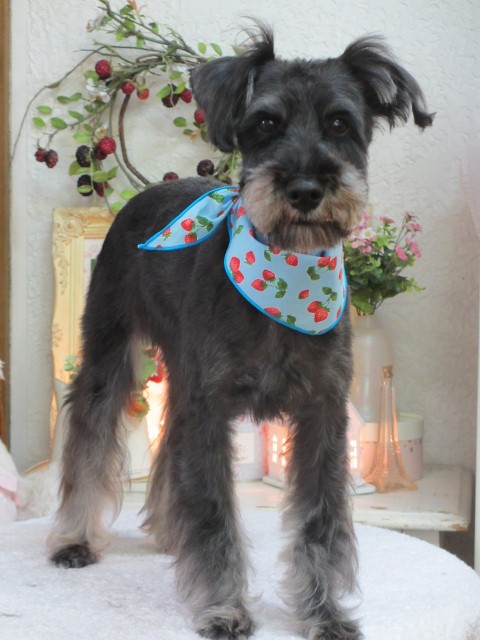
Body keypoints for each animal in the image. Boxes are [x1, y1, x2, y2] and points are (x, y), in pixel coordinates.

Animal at [48, 27, 432, 640]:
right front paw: (224, 605)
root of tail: (137, 197)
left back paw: (168, 529)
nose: (305, 189)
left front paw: (324, 613)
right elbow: (214, 514)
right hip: (110, 352)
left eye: (340, 123)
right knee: (89, 435)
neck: (285, 278)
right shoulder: (211, 408)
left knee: (167, 446)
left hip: (180, 377)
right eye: (265, 123)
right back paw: (75, 538)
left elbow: (321, 522)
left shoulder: (322, 414)